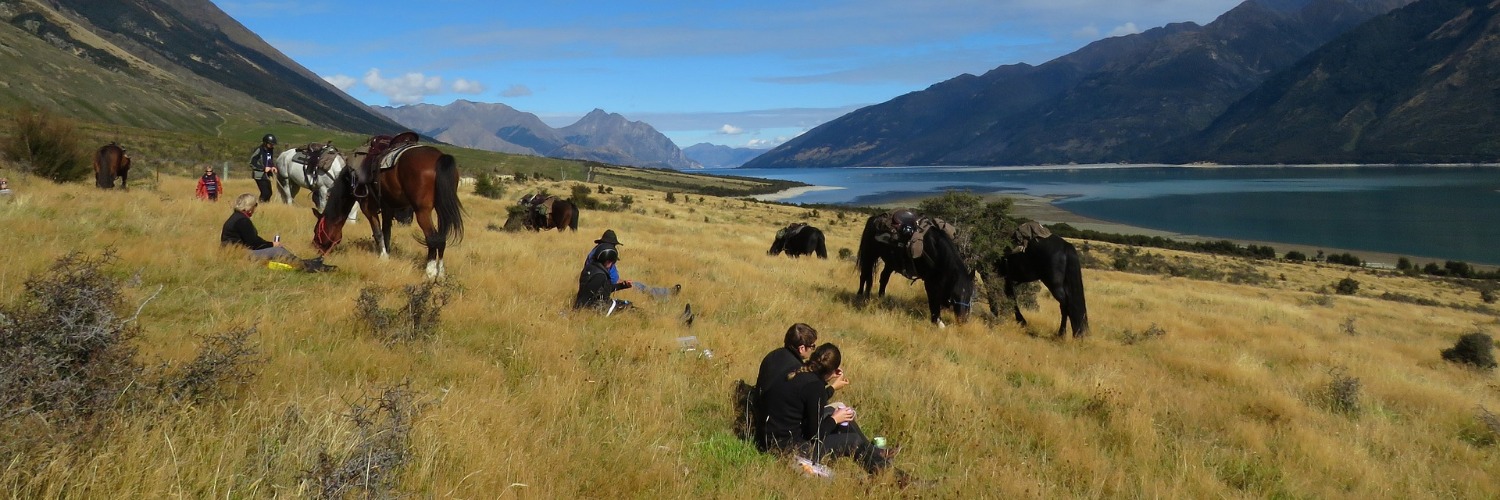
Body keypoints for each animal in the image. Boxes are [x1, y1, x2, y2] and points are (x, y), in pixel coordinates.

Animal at [310, 141, 462, 277]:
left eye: (317, 231)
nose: (315, 248)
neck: (351, 178)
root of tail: (440, 158)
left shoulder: (367, 207)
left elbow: (378, 232)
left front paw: (383, 257)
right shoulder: (387, 207)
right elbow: (386, 232)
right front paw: (388, 253)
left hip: (422, 211)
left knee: (432, 237)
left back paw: (430, 271)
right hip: (442, 209)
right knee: (441, 238)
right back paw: (441, 272)